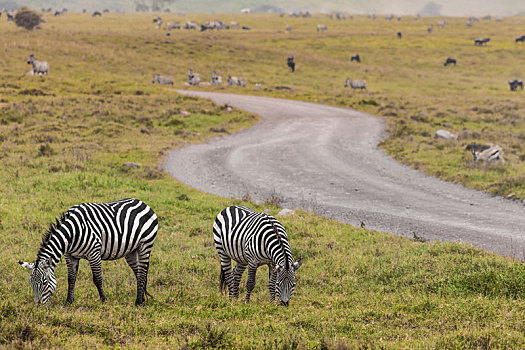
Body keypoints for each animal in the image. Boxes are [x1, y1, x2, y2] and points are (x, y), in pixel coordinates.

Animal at [17, 198, 158, 304]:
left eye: (44, 282)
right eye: (31, 283)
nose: (37, 305)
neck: (72, 233)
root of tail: (142, 202)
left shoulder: (94, 253)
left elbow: (97, 279)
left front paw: (103, 300)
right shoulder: (70, 255)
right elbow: (71, 278)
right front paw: (69, 301)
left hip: (145, 244)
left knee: (142, 271)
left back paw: (138, 302)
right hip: (131, 250)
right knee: (139, 272)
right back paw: (141, 298)